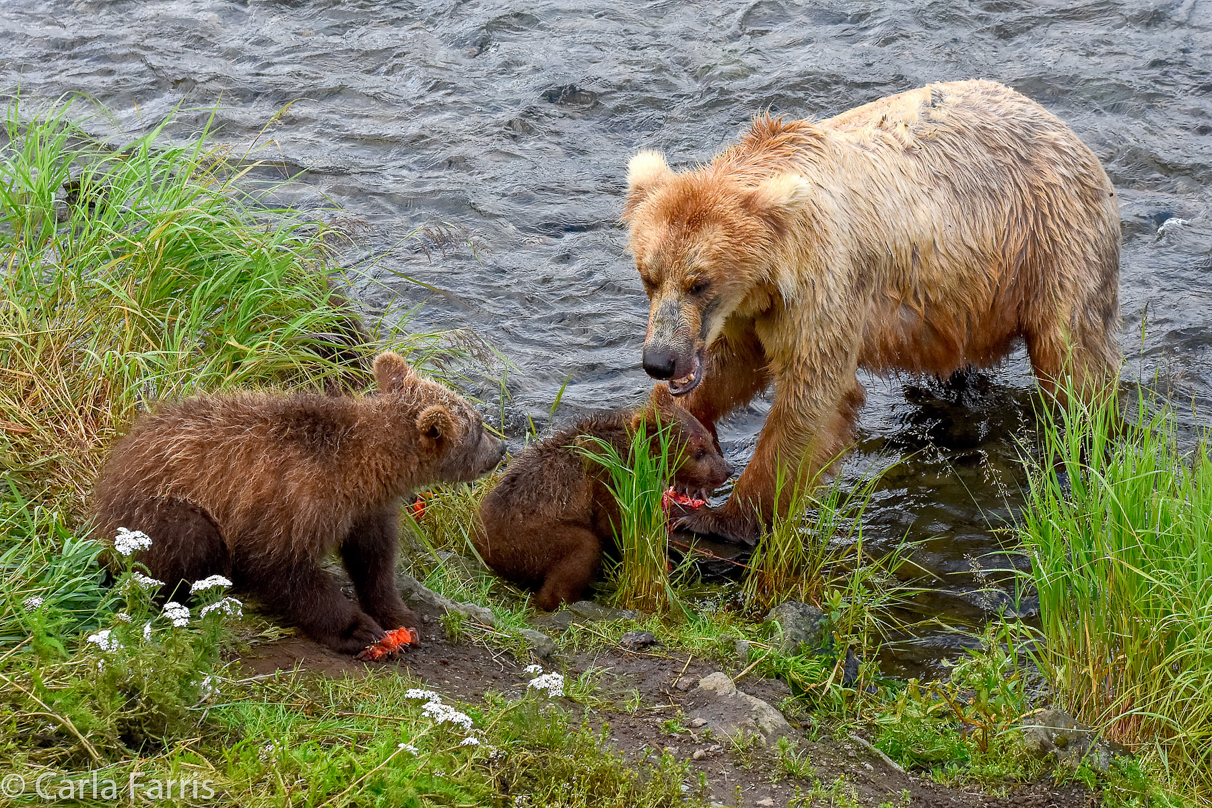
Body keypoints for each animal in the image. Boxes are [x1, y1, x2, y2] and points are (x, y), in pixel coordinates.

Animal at [625, 80, 1115, 542]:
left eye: (700, 283)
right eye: (649, 276)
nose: (660, 360)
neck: (774, 269)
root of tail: (1062, 125)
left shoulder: (824, 282)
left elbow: (812, 396)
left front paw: (721, 518)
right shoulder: (747, 314)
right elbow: (729, 366)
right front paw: (662, 439)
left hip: (1051, 243)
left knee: (1073, 359)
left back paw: (1082, 439)